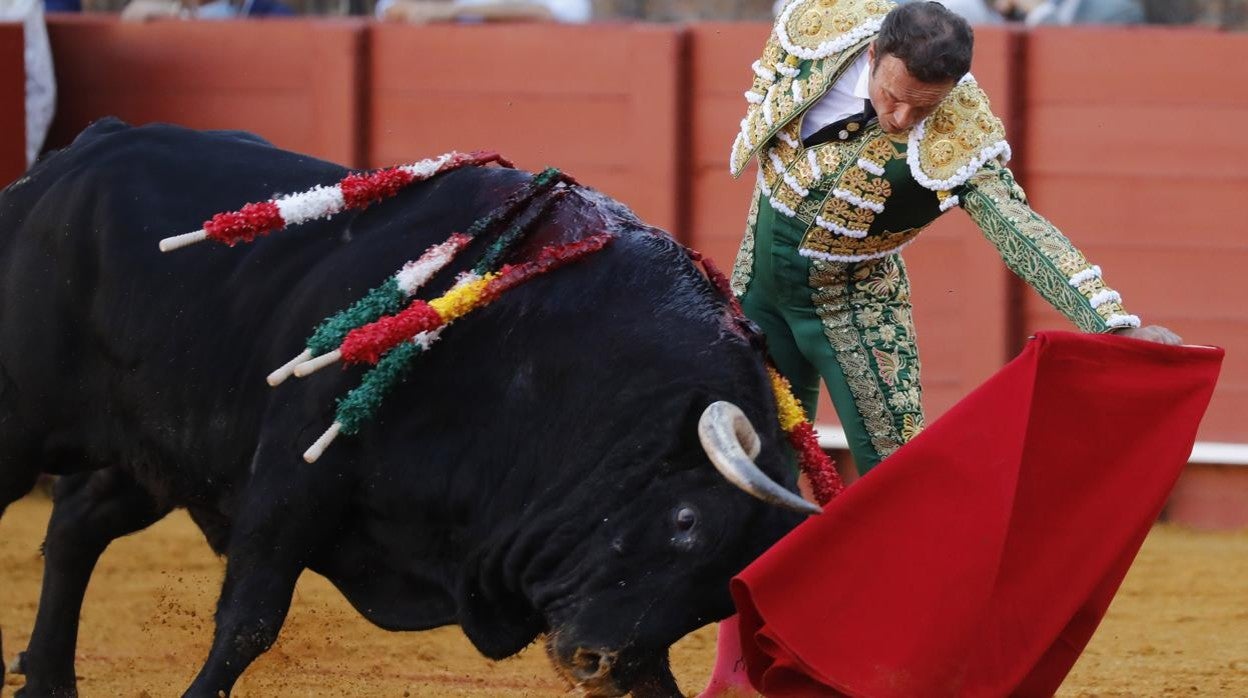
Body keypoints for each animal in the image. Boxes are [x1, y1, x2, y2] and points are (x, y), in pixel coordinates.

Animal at [0, 119, 808, 698]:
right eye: (685, 521)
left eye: (718, 595)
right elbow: (248, 622)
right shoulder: (294, 474)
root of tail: (77, 154)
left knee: (76, 527)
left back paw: (48, 681)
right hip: (28, 422)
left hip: (162, 450)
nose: (596, 662)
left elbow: (659, 679)